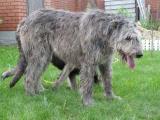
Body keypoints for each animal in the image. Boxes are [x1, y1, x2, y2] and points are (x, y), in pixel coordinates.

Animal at [3, 8, 142, 105]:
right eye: (127, 38)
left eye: (138, 38)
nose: (140, 54)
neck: (104, 31)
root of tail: (24, 20)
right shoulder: (88, 62)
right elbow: (87, 84)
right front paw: (88, 102)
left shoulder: (105, 62)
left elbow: (107, 81)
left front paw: (111, 97)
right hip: (39, 55)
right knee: (29, 76)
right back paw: (31, 95)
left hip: (45, 57)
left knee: (34, 74)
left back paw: (40, 91)